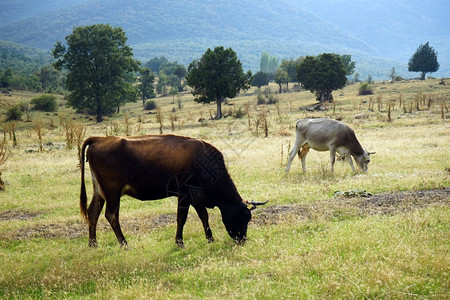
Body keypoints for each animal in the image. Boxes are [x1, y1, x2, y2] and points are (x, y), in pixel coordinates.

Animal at [80, 135, 268, 247]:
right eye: (243, 217)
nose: (242, 239)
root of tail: (100, 139)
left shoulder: (196, 196)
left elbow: (203, 216)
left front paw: (210, 238)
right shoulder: (184, 193)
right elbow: (181, 218)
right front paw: (179, 242)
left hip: (100, 191)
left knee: (93, 213)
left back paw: (93, 244)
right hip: (112, 191)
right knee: (111, 215)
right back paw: (124, 243)